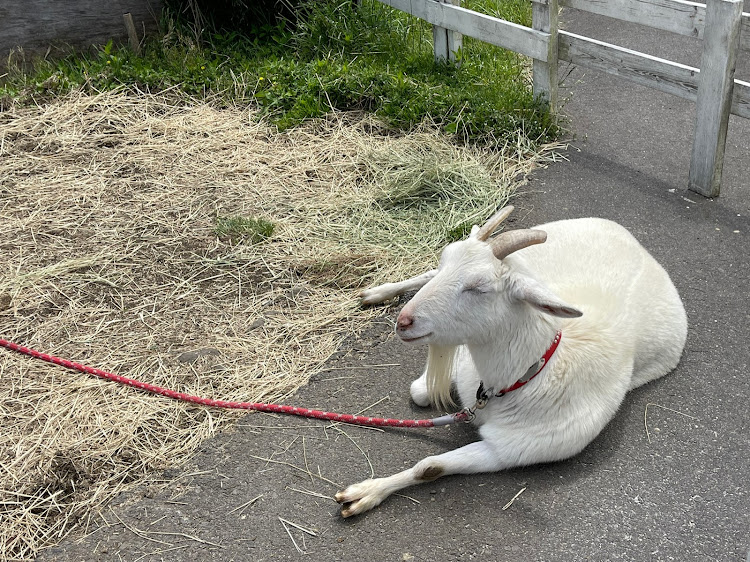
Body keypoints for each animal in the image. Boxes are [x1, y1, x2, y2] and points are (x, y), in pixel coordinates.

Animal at [338, 203, 692, 516]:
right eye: (445, 260)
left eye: (478, 287)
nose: (404, 322)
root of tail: (633, 241)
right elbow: (420, 393)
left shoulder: (508, 450)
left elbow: (430, 467)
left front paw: (365, 494)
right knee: (423, 275)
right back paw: (377, 292)